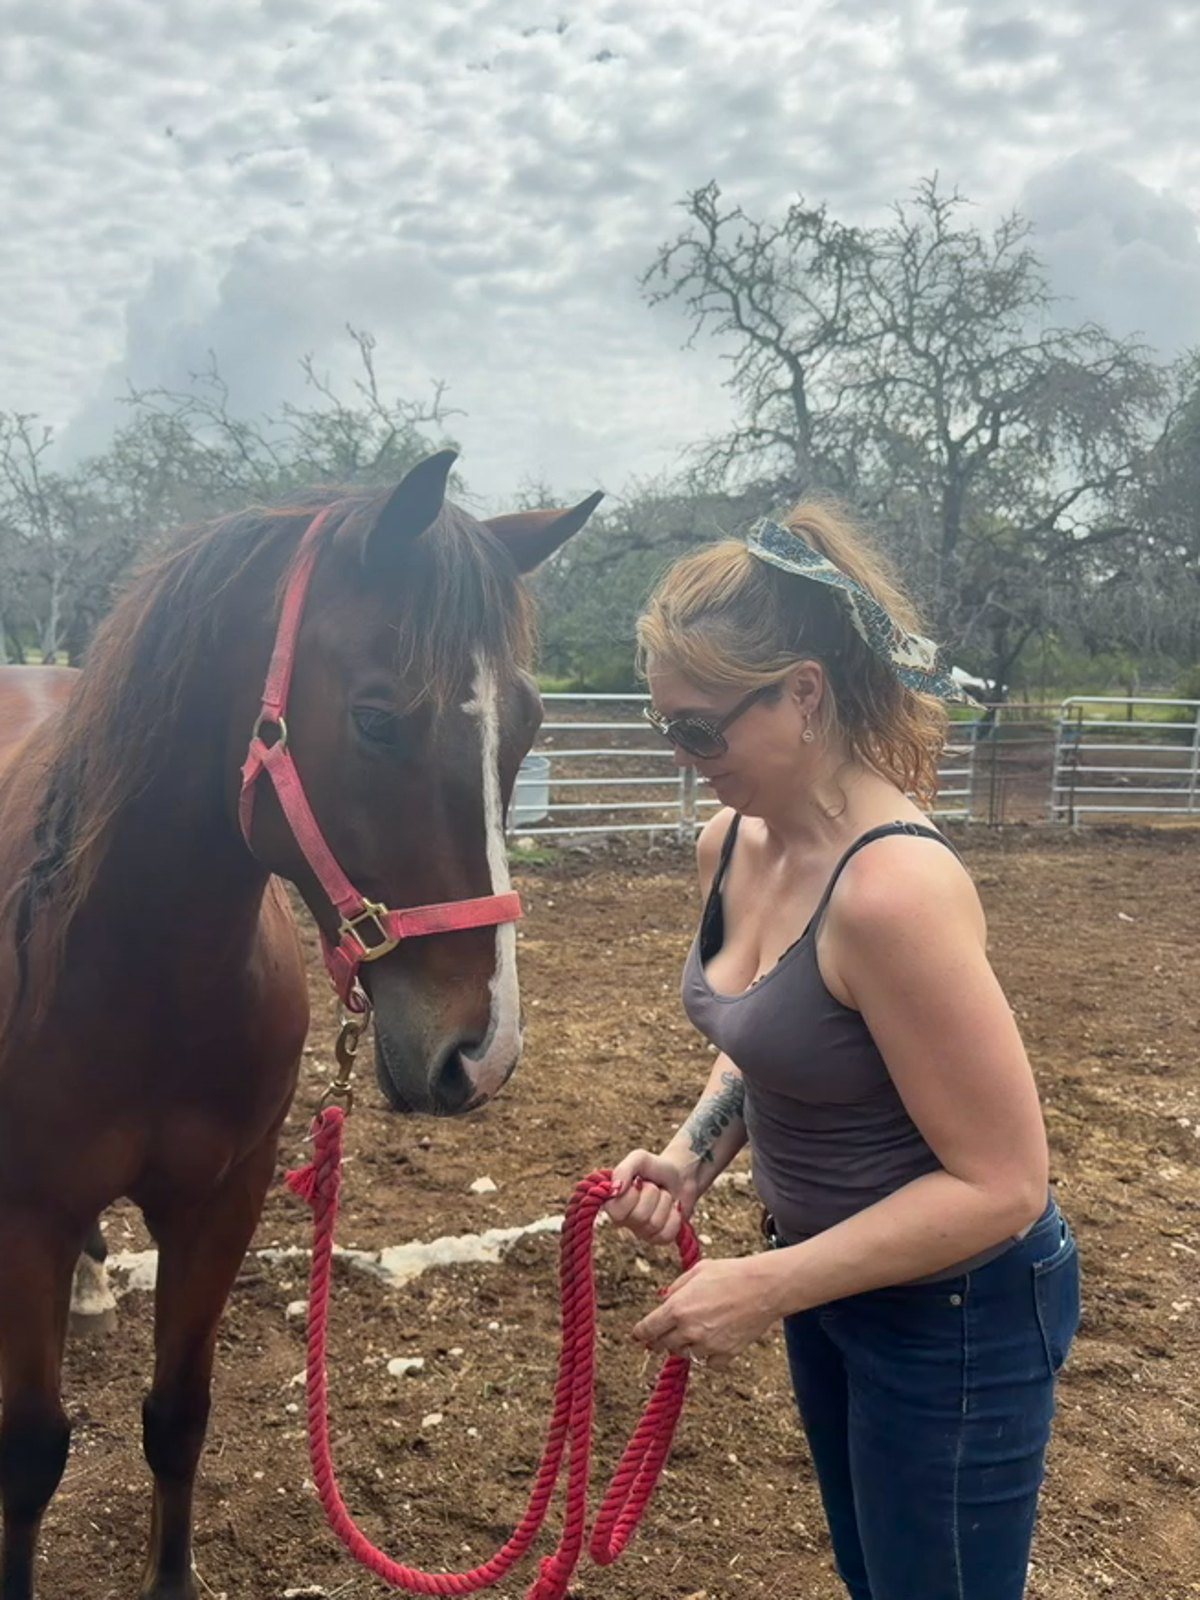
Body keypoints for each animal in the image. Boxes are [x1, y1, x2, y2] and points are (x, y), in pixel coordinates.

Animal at [0, 450, 601, 1600]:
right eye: (376, 718)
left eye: (530, 724)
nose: (483, 1053)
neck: (136, 970)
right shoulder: (25, 1217)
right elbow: (31, 1454)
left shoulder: (222, 1202)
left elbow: (178, 1420)